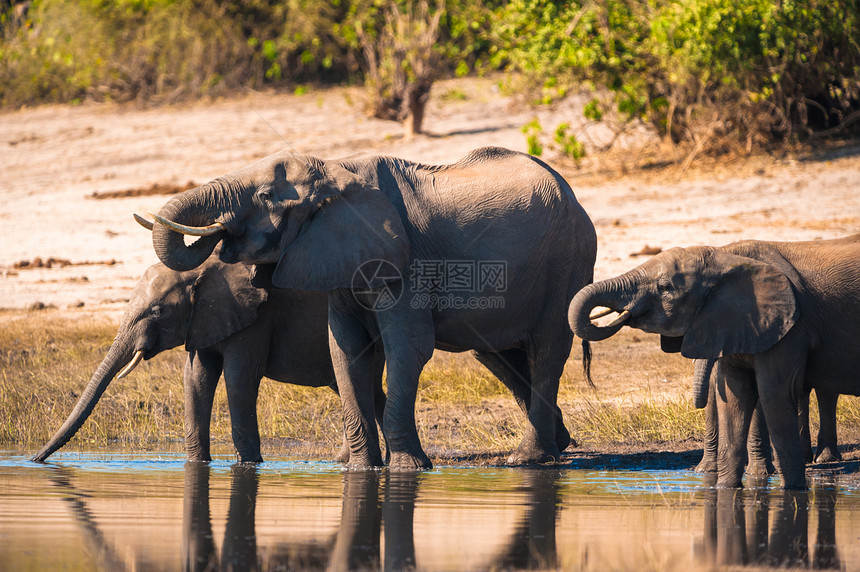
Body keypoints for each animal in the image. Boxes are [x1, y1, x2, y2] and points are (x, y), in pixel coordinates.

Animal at [144, 146, 596, 470]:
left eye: (266, 196)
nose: (220, 236)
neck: (338, 169)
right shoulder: (340, 265)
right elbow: (346, 351)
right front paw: (362, 471)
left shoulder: (405, 263)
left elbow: (408, 348)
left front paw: (409, 469)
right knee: (499, 356)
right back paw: (560, 445)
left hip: (567, 261)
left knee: (547, 350)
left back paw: (528, 460)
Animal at [572, 235, 860, 490]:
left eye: (664, 287)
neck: (727, 258)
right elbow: (734, 399)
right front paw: (723, 489)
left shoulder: (790, 330)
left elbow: (774, 396)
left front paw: (792, 491)